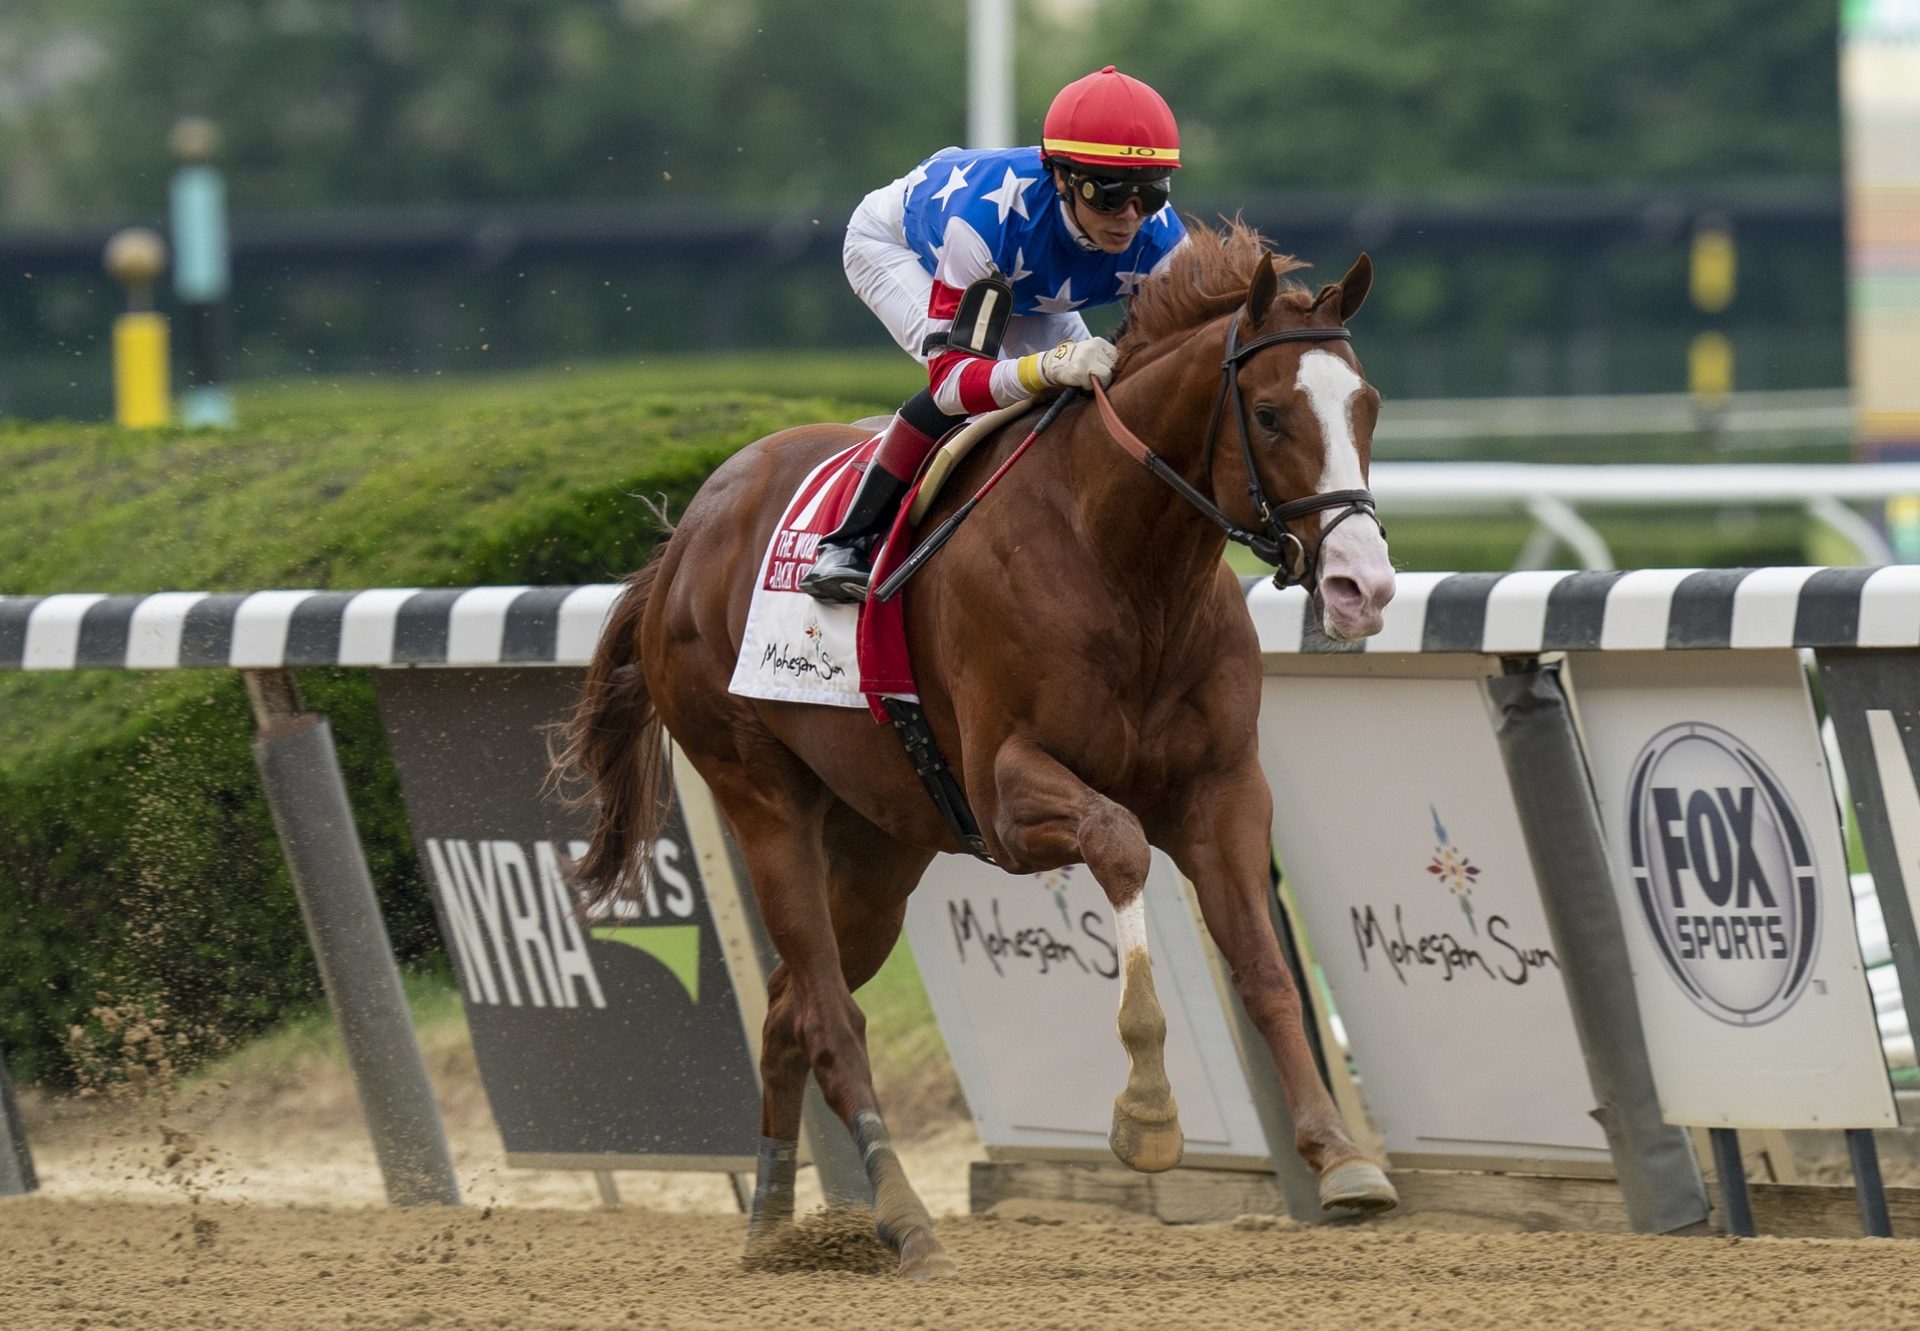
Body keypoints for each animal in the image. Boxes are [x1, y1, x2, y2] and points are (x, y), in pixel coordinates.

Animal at [556, 222, 1397, 1275]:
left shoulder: (1222, 787)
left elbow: (1264, 964)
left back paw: (775, 1226)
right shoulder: (1008, 795)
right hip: (760, 797)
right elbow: (1120, 843)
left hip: (879, 846)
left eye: (1368, 404)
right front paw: (1148, 1107)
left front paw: (1341, 1157)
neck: (1124, 560)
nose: (1363, 585)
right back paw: (905, 1219)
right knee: (828, 1016)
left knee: (789, 1006)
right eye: (1274, 413)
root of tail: (682, 540)